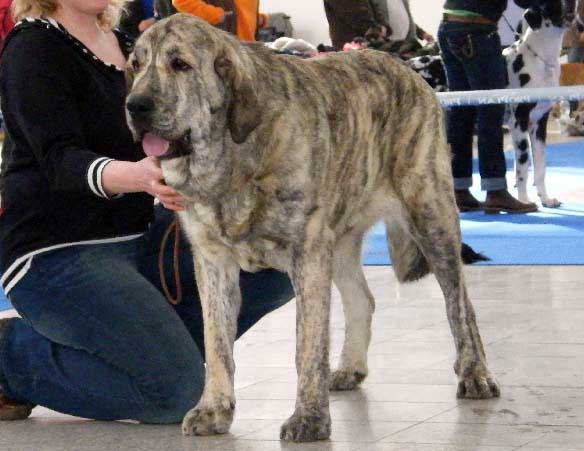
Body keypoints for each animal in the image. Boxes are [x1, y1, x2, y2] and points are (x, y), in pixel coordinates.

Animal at [125, 15, 500, 444]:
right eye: (136, 65)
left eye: (180, 65)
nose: (135, 105)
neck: (232, 157)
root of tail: (408, 72)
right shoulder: (213, 262)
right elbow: (217, 343)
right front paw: (214, 409)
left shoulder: (306, 255)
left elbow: (307, 345)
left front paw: (309, 419)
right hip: (339, 241)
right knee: (363, 300)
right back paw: (351, 367)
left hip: (431, 217)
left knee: (460, 305)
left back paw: (475, 374)